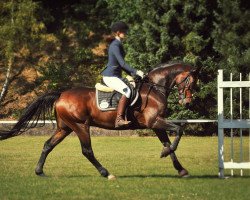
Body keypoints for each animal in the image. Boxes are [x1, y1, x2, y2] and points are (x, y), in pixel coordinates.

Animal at [0, 62, 199, 180]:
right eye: (190, 82)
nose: (188, 102)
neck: (154, 88)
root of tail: (61, 94)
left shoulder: (157, 124)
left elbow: (168, 142)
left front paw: (180, 169)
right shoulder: (154, 122)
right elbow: (179, 130)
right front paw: (165, 154)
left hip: (65, 128)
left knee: (48, 145)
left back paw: (39, 171)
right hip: (81, 126)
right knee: (87, 151)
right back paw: (106, 173)